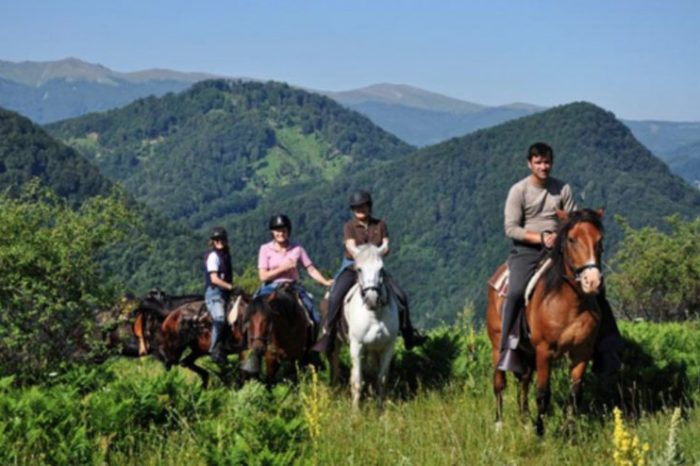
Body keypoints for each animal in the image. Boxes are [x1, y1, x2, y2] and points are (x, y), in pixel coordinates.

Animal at [330, 242, 396, 410]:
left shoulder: (387, 347)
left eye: (381, 269)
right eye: (359, 269)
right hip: (337, 343)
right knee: (337, 367)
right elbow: (357, 381)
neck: (375, 315)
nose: (372, 299)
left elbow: (381, 379)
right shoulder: (357, 345)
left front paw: (380, 409)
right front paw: (355, 412)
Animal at [486, 209, 608, 436]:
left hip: (526, 350)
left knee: (524, 379)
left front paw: (570, 432)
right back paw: (499, 423)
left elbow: (575, 394)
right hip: (498, 343)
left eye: (600, 240)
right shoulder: (544, 351)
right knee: (499, 381)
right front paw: (539, 432)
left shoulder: (581, 352)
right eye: (571, 239)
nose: (592, 281)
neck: (570, 303)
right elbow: (543, 393)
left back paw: (524, 419)